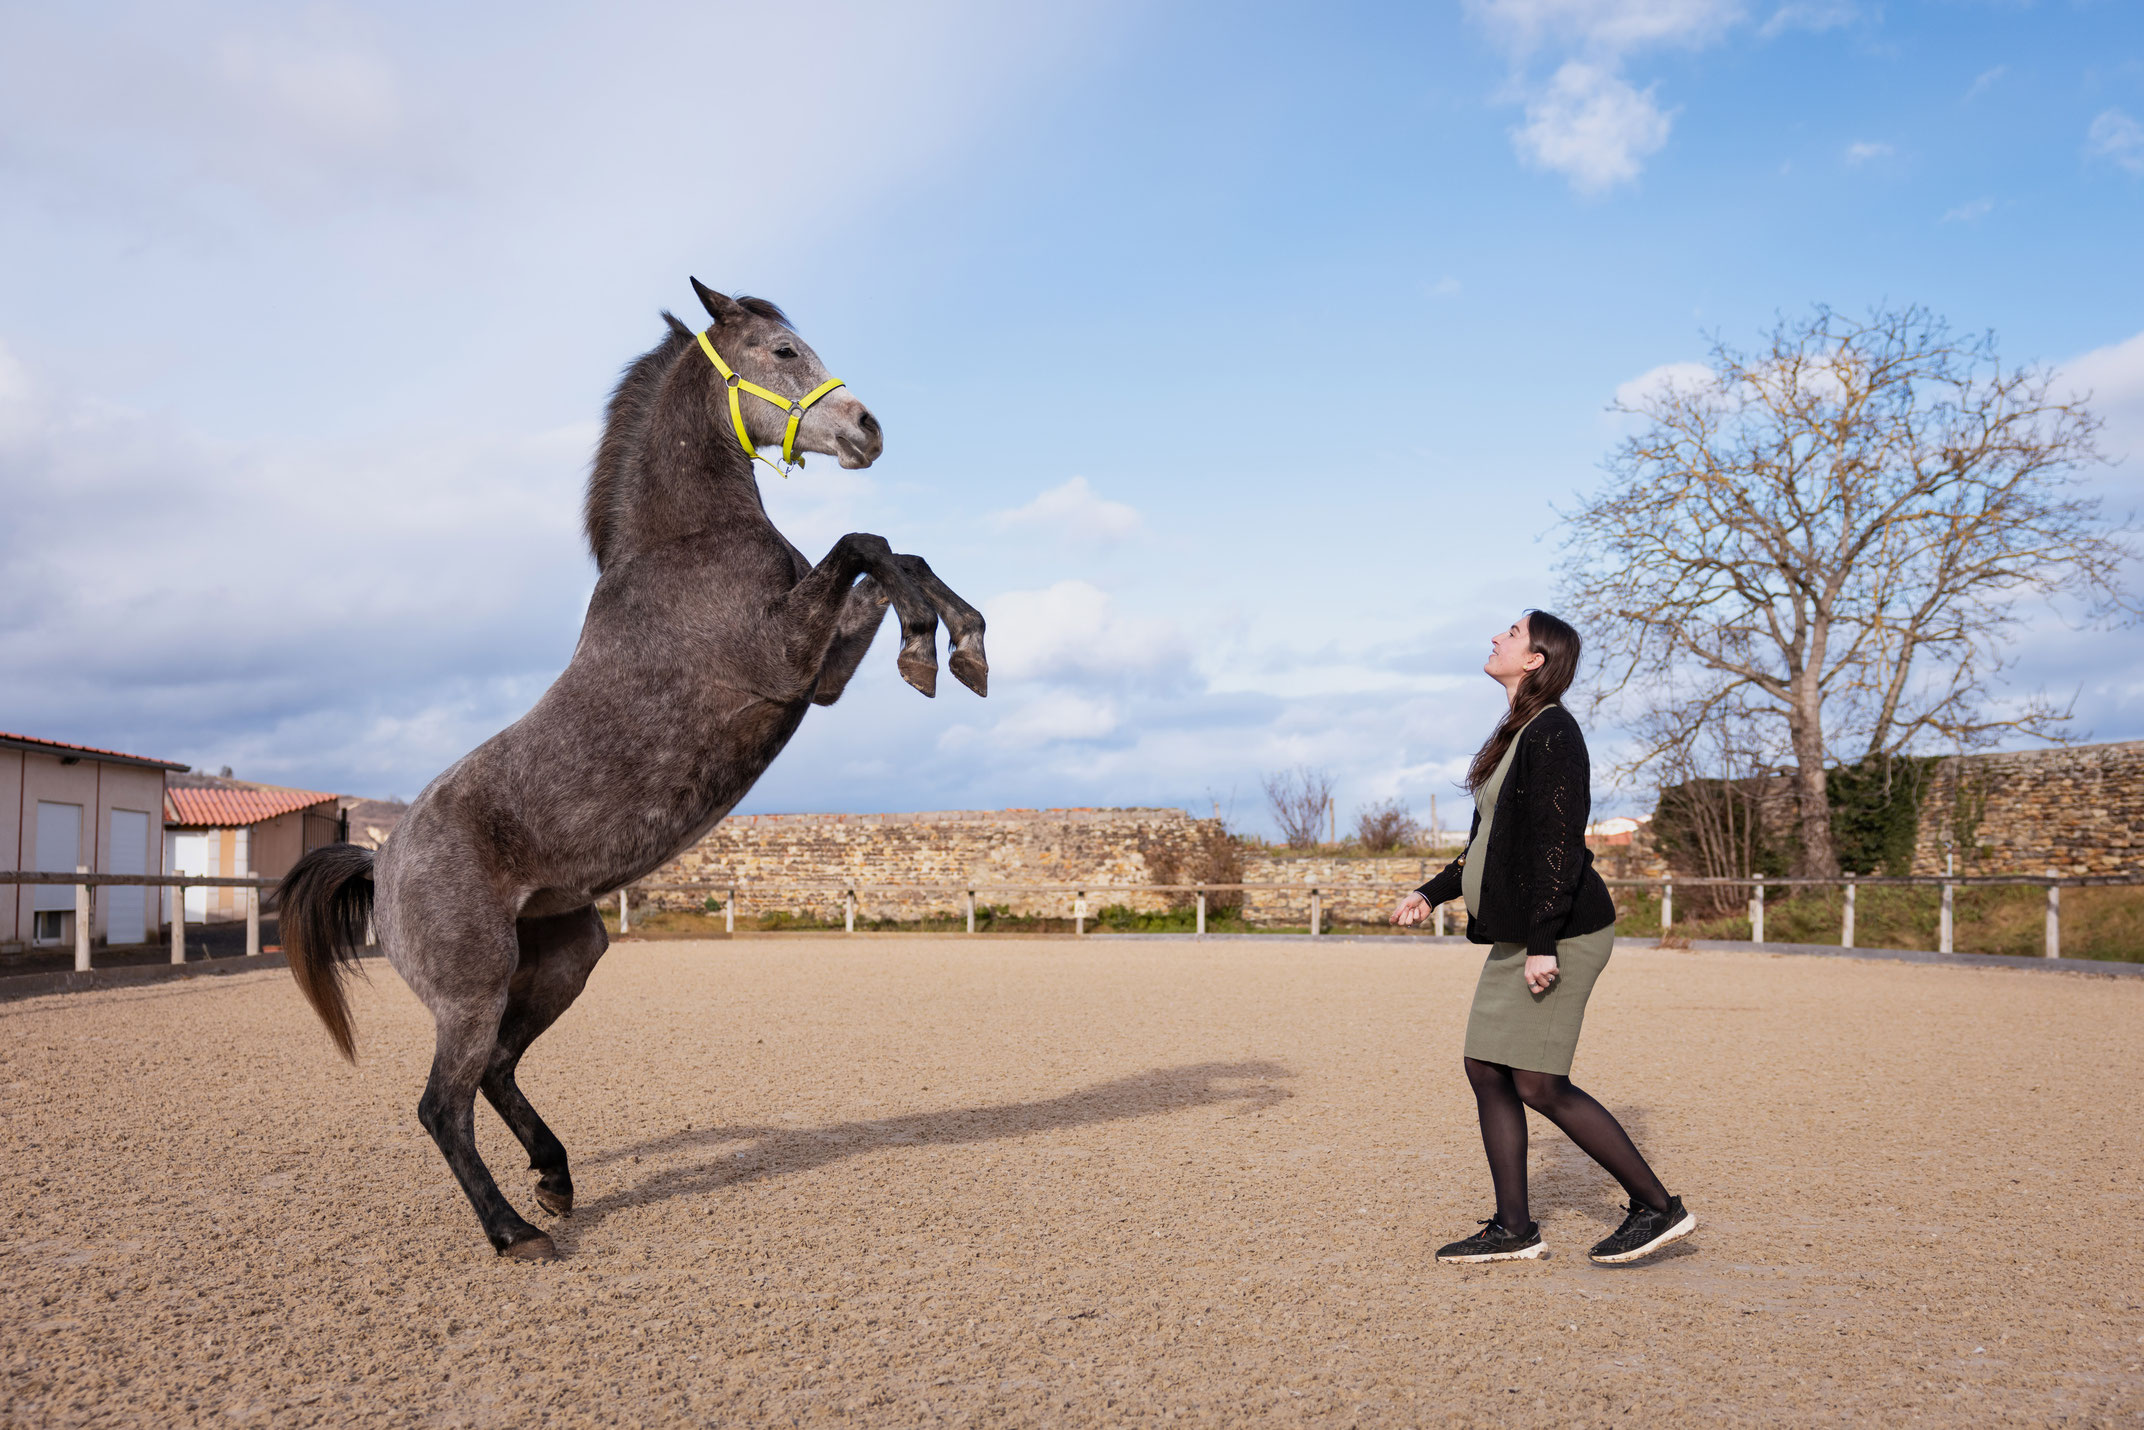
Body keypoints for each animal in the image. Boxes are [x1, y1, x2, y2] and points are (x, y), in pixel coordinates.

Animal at [274, 280, 988, 1259]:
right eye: (781, 352)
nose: (867, 429)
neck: (684, 544)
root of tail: (381, 860)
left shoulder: (823, 675)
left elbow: (896, 558)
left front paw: (961, 645)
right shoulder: (785, 659)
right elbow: (866, 543)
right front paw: (931, 644)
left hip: (569, 956)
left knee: (497, 1072)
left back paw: (556, 1180)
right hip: (473, 986)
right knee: (442, 1106)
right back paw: (515, 1232)